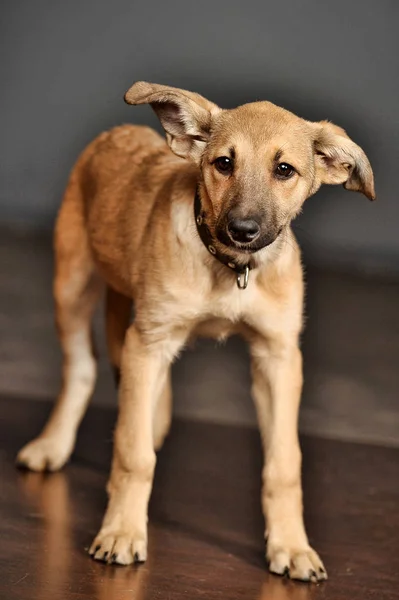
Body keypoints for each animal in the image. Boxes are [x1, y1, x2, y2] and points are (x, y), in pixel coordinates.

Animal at [16, 82, 376, 584]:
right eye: (223, 163)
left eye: (284, 169)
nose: (242, 230)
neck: (232, 271)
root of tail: (116, 131)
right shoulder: (148, 341)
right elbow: (133, 454)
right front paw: (122, 532)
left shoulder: (279, 358)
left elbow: (284, 464)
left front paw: (291, 545)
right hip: (72, 287)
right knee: (83, 367)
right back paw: (54, 444)